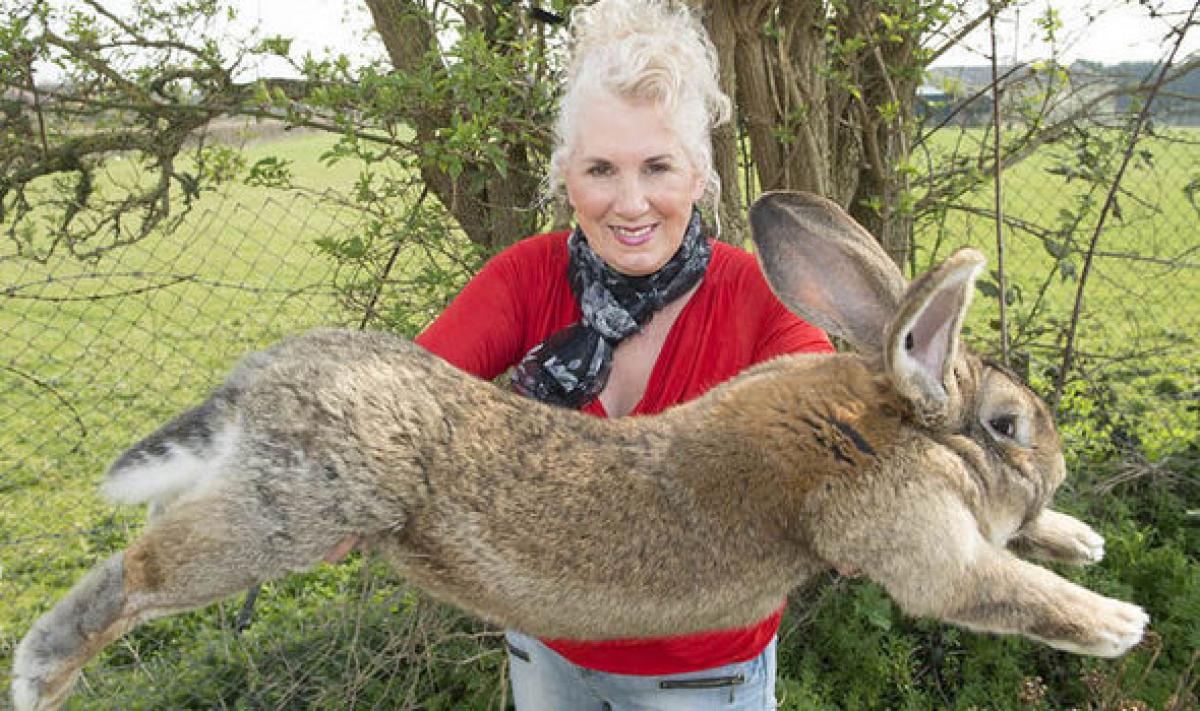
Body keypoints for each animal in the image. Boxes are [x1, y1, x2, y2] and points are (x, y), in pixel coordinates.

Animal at [11, 192, 1152, 706]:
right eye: (1007, 426)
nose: (1055, 467)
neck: (880, 421)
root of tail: (262, 381)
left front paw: (1082, 538)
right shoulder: (914, 539)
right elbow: (997, 589)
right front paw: (1117, 621)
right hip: (289, 516)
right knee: (137, 573)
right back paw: (40, 672)